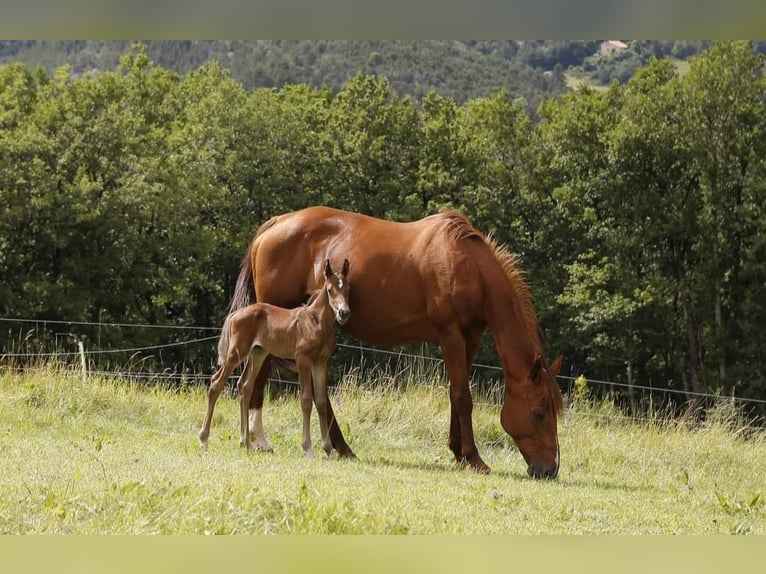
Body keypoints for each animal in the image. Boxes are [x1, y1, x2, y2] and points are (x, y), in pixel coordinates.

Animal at [200, 260, 352, 460]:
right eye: (329, 289)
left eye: (347, 288)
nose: (343, 313)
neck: (315, 321)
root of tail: (235, 315)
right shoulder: (302, 359)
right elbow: (306, 399)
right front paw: (308, 448)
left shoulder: (321, 361)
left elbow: (320, 401)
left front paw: (328, 449)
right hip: (236, 353)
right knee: (216, 382)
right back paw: (204, 439)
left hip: (258, 353)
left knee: (244, 385)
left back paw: (245, 442)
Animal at [225, 205, 568, 480]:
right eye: (538, 411)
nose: (550, 469)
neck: (467, 264)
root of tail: (275, 223)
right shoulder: (451, 336)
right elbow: (463, 398)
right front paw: (474, 458)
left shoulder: (469, 339)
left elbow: (455, 394)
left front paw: (458, 453)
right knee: (260, 375)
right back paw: (260, 439)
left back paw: (340, 447)